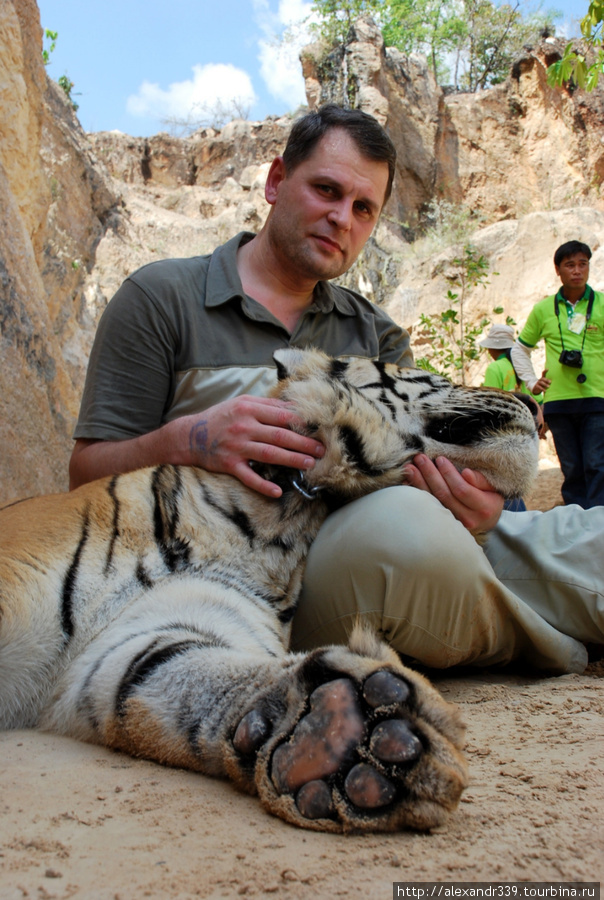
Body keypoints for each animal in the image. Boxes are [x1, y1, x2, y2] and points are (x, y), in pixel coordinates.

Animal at [0, 348, 536, 832]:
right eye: (433, 375)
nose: (531, 400)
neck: (279, 518)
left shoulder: (150, 631)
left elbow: (175, 672)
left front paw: (339, 734)